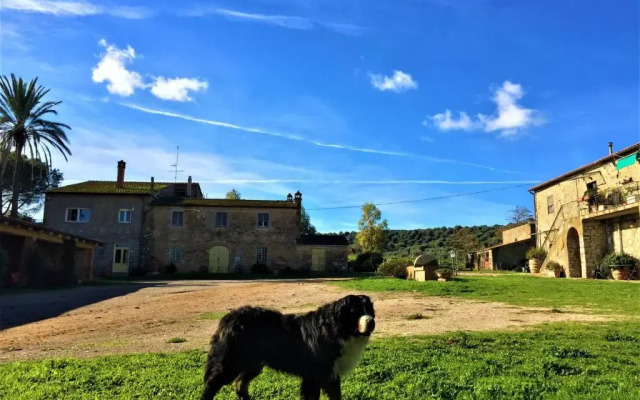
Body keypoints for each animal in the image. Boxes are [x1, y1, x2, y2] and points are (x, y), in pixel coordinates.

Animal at [200, 294, 376, 400]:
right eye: (355, 311)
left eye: (369, 310)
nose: (372, 322)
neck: (337, 329)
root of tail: (230, 316)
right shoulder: (315, 375)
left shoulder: (332, 374)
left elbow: (335, 395)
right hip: (231, 361)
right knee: (213, 383)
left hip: (253, 363)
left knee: (240, 383)